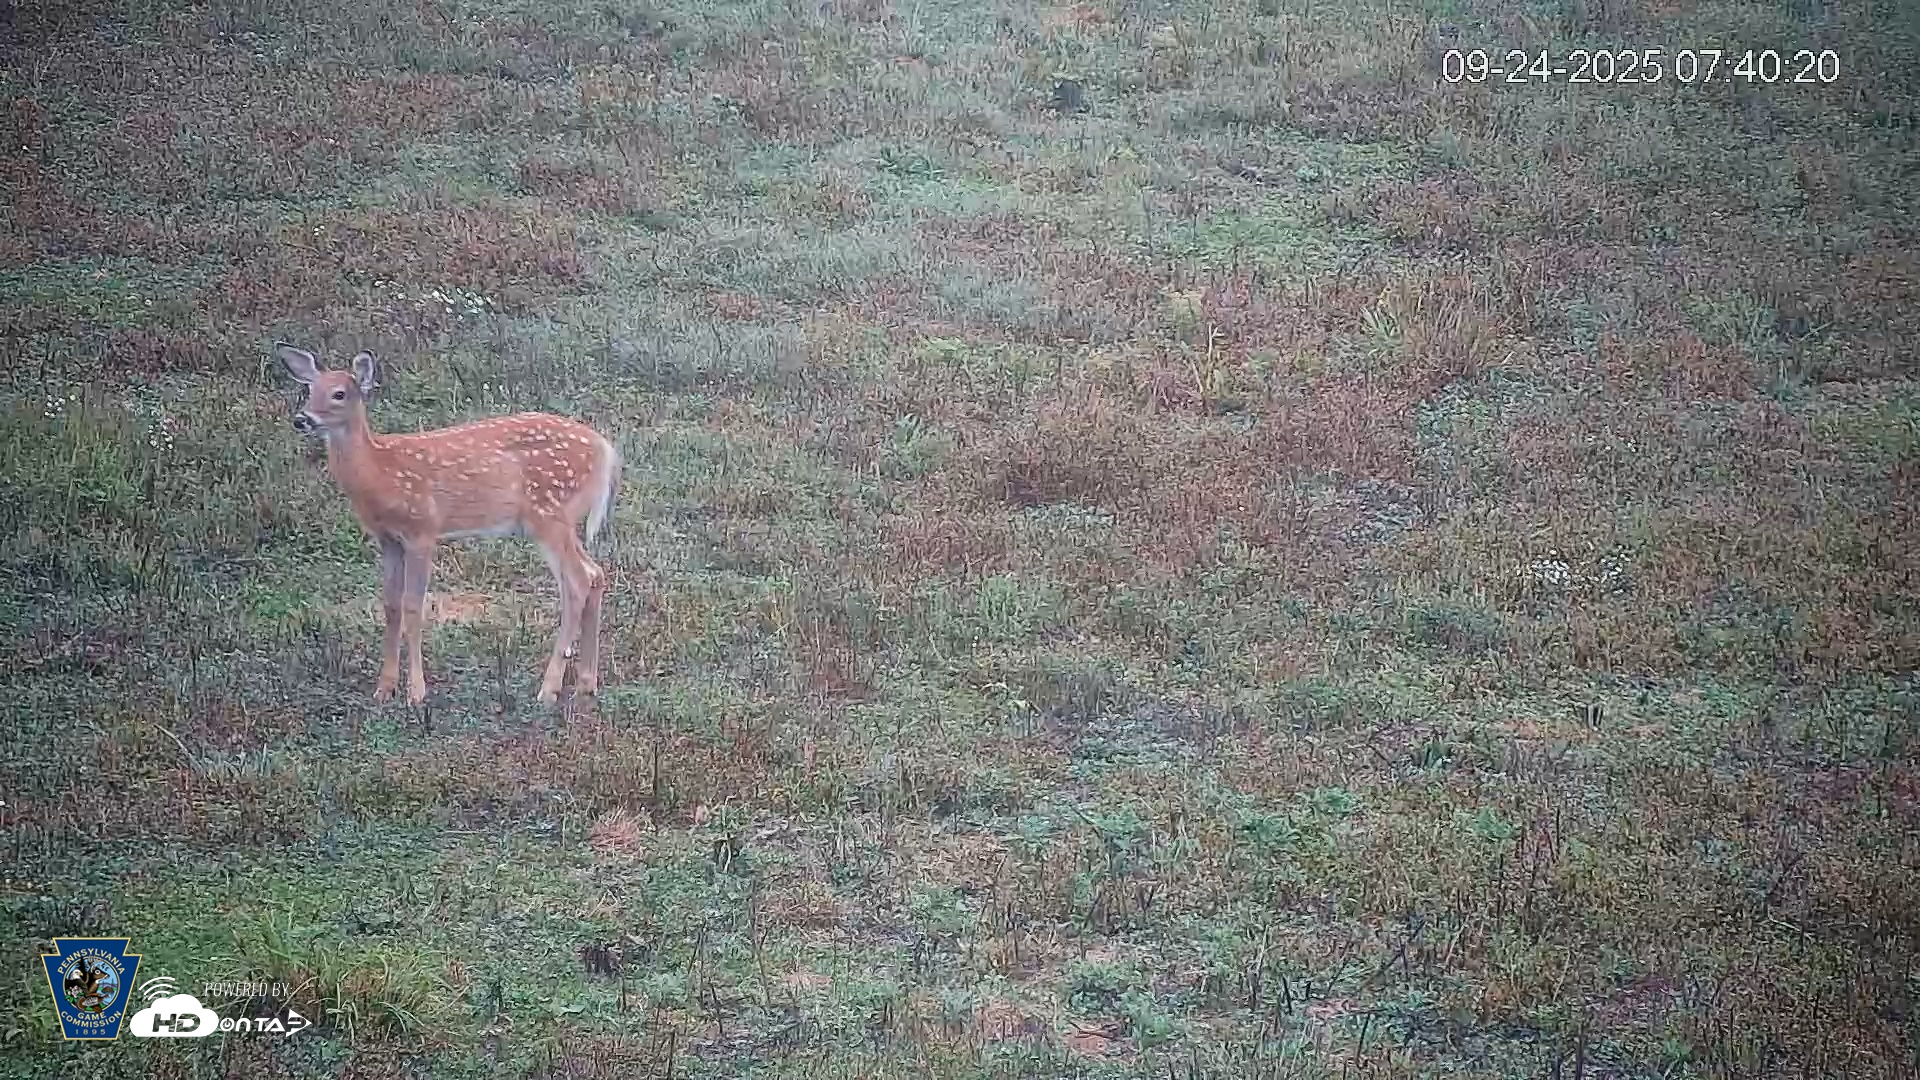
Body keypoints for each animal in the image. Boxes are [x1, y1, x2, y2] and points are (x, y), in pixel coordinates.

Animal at [276, 342, 621, 707]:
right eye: (309, 389)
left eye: (339, 393)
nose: (302, 419)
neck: (380, 472)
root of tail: (606, 450)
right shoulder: (388, 539)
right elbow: (391, 606)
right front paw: (384, 688)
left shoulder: (423, 530)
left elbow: (414, 606)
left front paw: (416, 692)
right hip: (560, 521)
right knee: (595, 574)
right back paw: (586, 683)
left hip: (549, 514)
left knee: (578, 581)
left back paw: (549, 689)